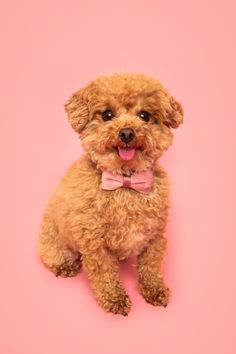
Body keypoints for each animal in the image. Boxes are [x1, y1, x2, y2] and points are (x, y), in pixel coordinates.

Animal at [37, 72, 183, 316]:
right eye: (107, 114)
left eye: (144, 115)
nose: (127, 133)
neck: (125, 183)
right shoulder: (95, 244)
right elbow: (105, 275)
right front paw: (115, 299)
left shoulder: (155, 236)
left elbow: (150, 266)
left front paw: (155, 290)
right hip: (54, 239)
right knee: (52, 253)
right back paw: (65, 265)